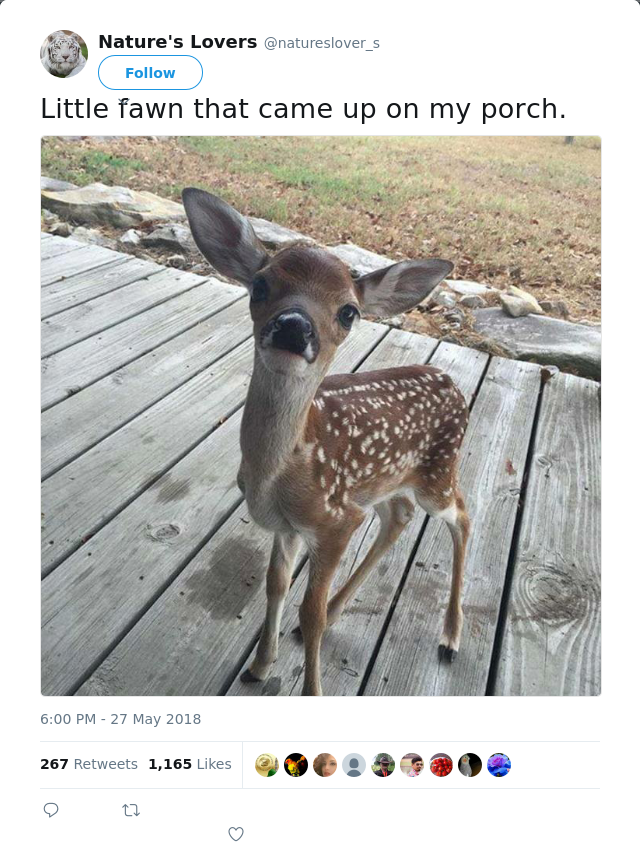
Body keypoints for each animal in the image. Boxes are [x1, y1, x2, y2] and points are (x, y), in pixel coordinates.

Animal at [182, 188, 471, 696]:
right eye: (260, 285)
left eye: (348, 312)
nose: (294, 326)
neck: (278, 472)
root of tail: (453, 384)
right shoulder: (289, 525)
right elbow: (275, 585)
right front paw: (260, 665)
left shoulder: (335, 520)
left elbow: (308, 609)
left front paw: (309, 685)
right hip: (382, 481)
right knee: (399, 515)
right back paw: (342, 609)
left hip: (438, 474)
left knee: (462, 515)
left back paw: (450, 637)